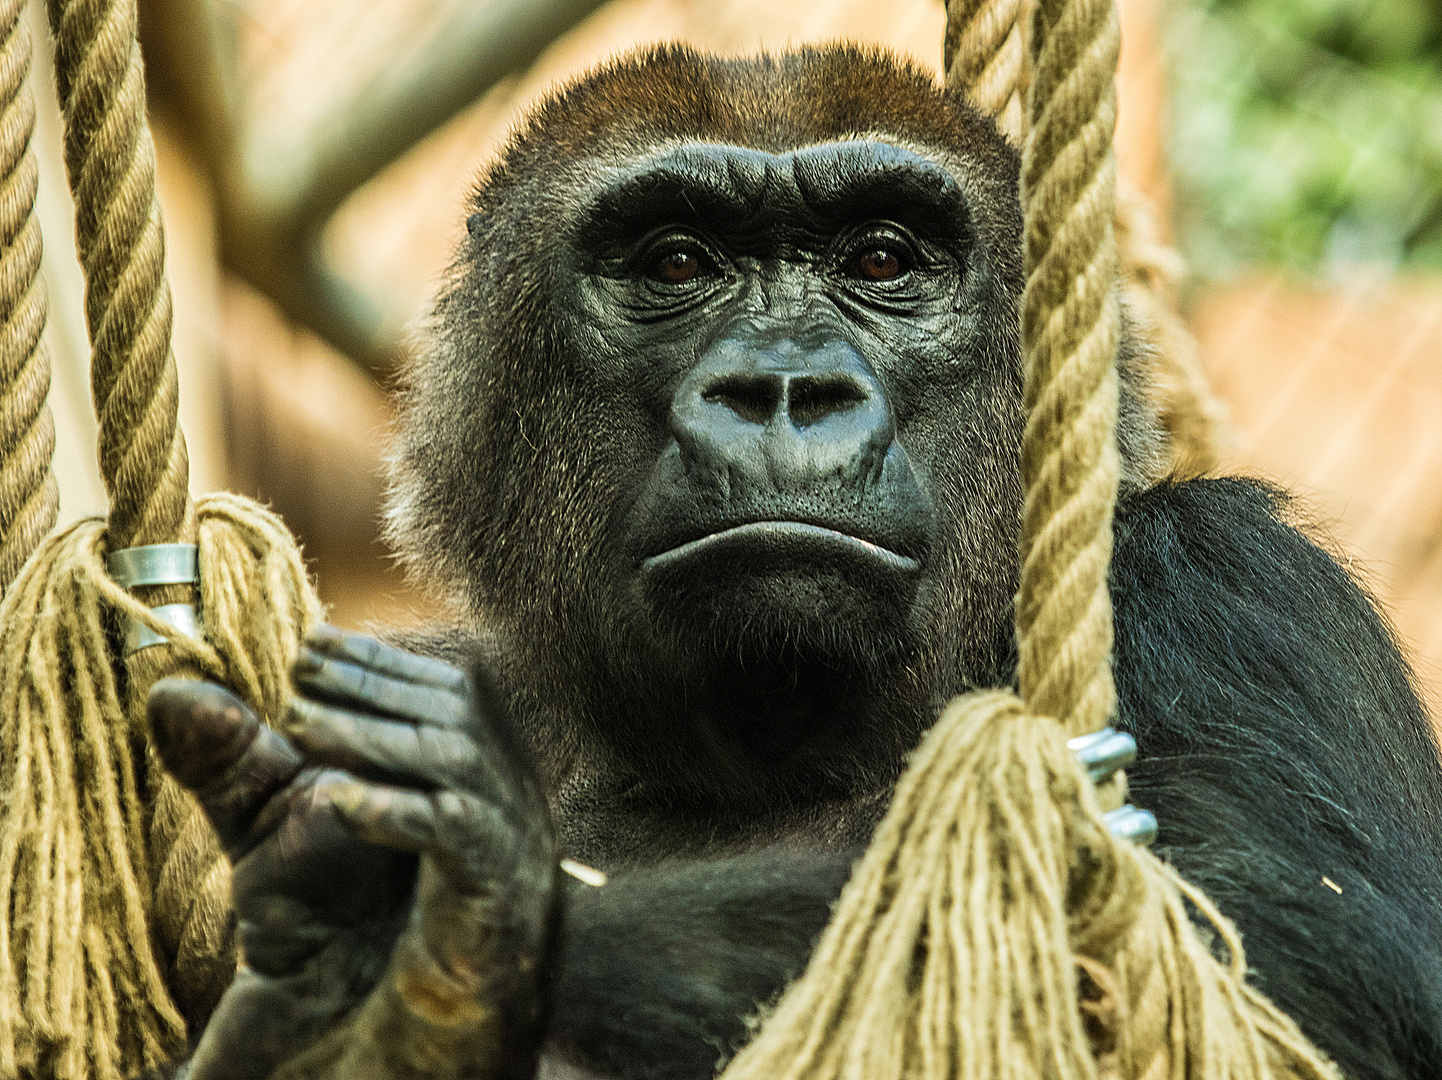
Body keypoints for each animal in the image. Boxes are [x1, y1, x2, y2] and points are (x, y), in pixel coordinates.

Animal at [146, 46, 1442, 1078]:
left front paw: (427, 918)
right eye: (675, 264)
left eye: (881, 260)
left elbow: (1280, 963)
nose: (782, 389)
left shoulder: (1236, 588)